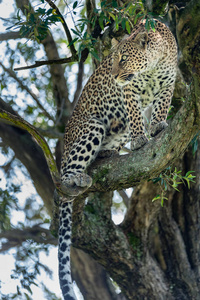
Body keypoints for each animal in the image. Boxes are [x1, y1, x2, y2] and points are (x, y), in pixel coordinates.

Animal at [57, 19, 177, 300]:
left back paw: (108, 153)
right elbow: (134, 115)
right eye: (111, 60)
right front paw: (140, 139)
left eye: (123, 59)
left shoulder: (168, 84)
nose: (112, 76)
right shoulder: (130, 91)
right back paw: (76, 178)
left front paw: (157, 126)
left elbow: (162, 105)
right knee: (64, 180)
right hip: (90, 128)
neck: (154, 63)